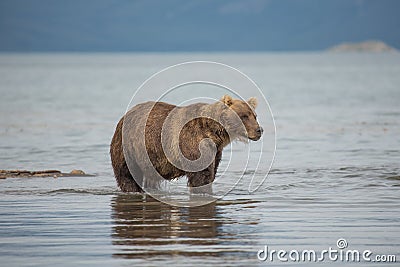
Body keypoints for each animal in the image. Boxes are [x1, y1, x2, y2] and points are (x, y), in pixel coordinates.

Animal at [109, 95, 262, 194]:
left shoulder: (216, 151)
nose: (259, 130)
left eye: (254, 115)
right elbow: (201, 175)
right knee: (126, 174)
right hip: (128, 148)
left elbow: (211, 172)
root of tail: (125, 115)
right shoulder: (194, 142)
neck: (213, 133)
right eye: (244, 116)